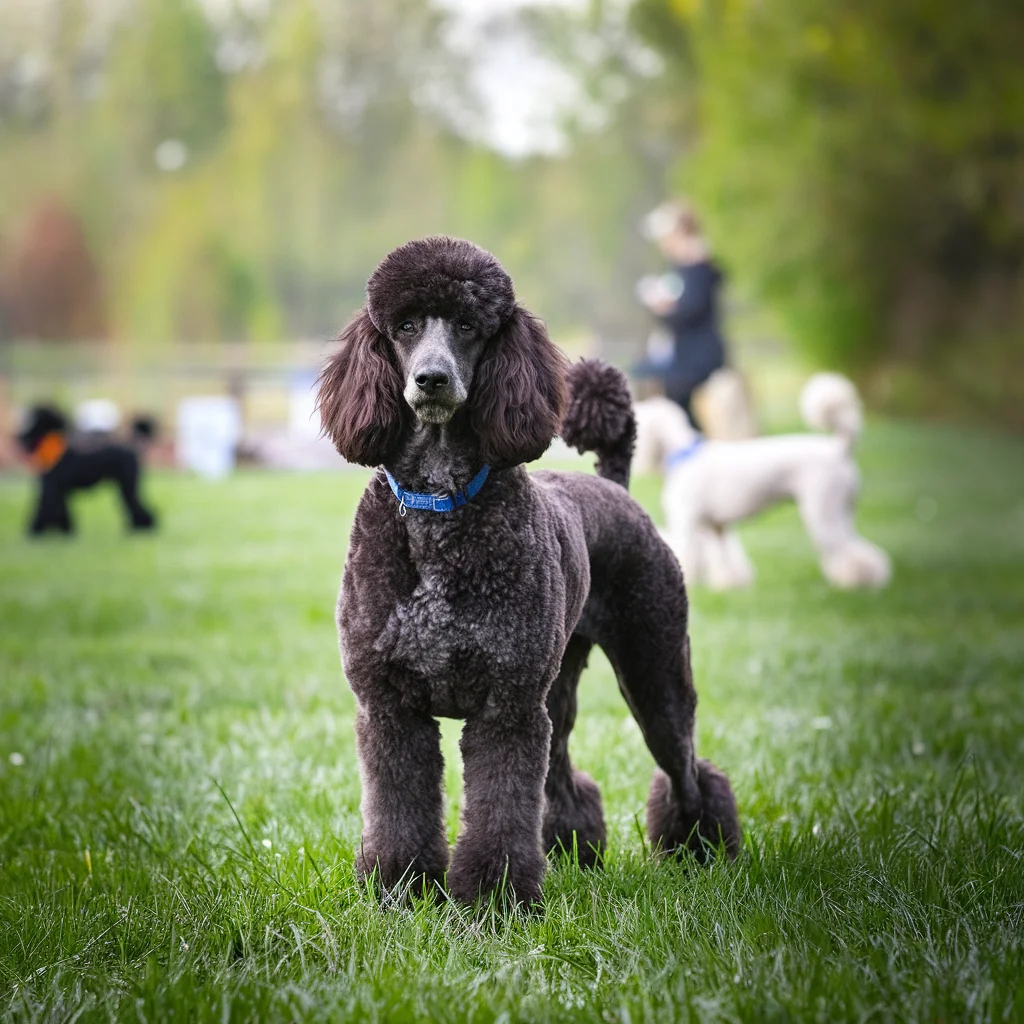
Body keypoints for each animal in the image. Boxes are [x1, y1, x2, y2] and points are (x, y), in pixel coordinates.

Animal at [17, 405, 156, 540]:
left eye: (34, 427)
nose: (20, 438)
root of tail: (133, 444)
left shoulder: (51, 489)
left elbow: (45, 510)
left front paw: (36, 533)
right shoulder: (57, 491)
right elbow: (59, 511)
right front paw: (66, 531)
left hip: (127, 484)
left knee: (135, 504)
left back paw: (141, 529)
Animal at [634, 372, 892, 589]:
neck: (685, 453)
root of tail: (838, 449)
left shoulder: (686, 521)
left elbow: (688, 554)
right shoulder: (716, 528)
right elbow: (724, 558)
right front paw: (729, 584)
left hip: (823, 512)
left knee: (850, 553)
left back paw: (857, 581)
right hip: (842, 511)